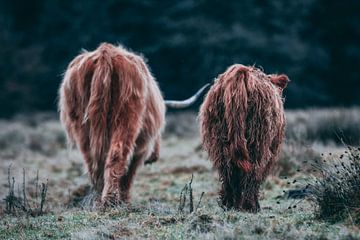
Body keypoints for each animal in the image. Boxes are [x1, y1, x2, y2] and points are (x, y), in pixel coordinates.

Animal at [58, 42, 207, 204]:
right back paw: (110, 200)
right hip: (126, 120)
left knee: (91, 160)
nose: (154, 157)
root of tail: (105, 52)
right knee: (117, 155)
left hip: (82, 127)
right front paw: (125, 199)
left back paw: (98, 198)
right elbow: (130, 173)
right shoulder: (141, 149)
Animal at [198, 63, 288, 212]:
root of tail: (240, 72)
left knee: (228, 170)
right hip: (258, 138)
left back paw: (229, 204)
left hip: (220, 138)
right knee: (253, 170)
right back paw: (251, 206)